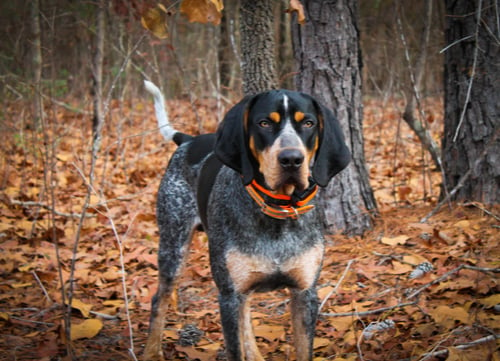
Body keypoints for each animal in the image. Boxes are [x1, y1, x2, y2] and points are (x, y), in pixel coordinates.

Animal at [143, 81, 350, 360]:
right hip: (173, 245)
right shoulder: (229, 295)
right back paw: (150, 351)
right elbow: (235, 347)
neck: (277, 212)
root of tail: (189, 140)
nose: (291, 159)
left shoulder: (305, 293)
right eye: (264, 123)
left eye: (308, 123)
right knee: (159, 299)